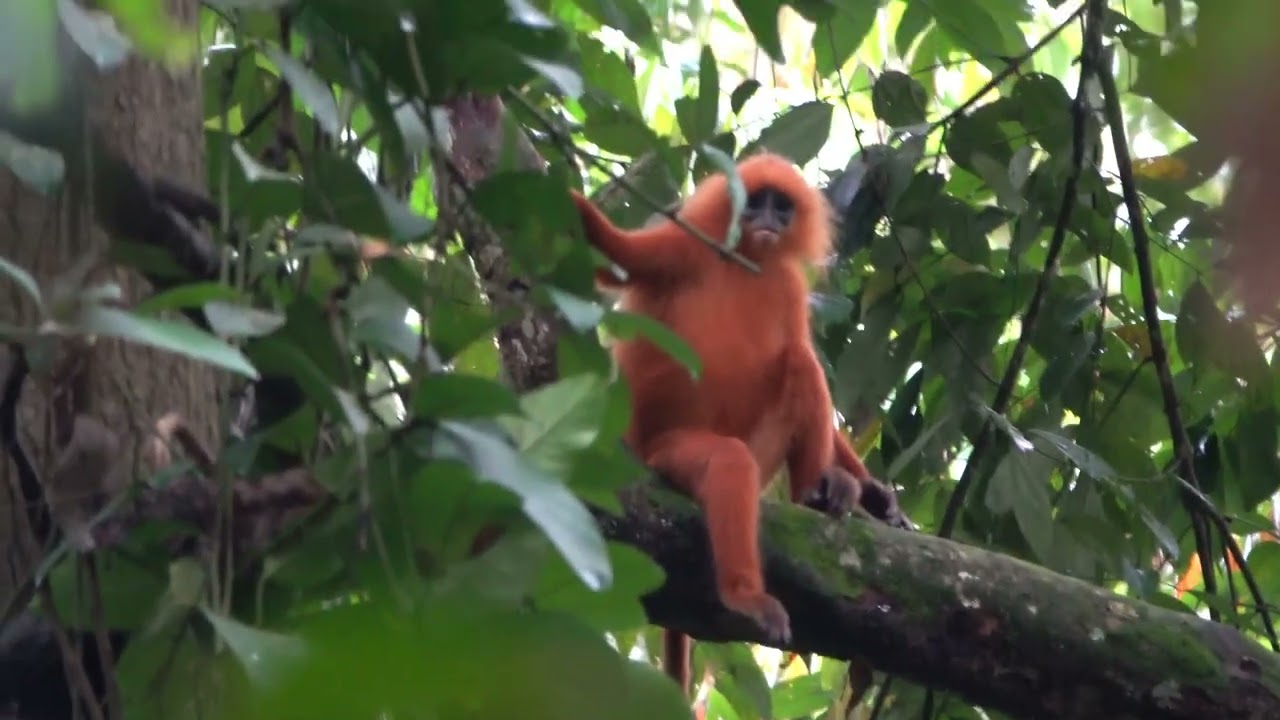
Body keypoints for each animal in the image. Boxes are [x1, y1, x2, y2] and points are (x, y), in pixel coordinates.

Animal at [569, 152, 903, 694]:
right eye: (756, 202)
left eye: (781, 206)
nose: (767, 219)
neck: (746, 259)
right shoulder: (683, 245)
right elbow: (616, 256)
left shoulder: (789, 287)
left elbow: (800, 350)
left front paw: (876, 493)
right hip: (667, 452)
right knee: (729, 461)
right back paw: (745, 594)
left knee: (800, 363)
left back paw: (820, 490)